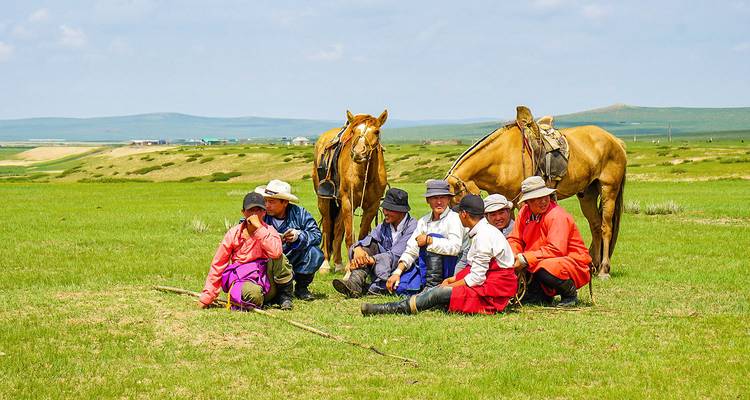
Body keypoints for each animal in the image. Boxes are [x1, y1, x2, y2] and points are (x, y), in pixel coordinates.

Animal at [312, 110, 388, 274]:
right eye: (354, 131)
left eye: (377, 131)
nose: (359, 153)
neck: (365, 175)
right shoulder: (348, 202)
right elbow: (349, 236)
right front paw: (349, 271)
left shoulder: (372, 206)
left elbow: (361, 235)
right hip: (324, 200)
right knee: (328, 227)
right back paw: (326, 264)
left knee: (337, 228)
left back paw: (339, 264)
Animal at [445, 106, 627, 279]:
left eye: (459, 203)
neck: (501, 157)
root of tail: (616, 140)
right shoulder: (505, 202)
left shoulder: (520, 201)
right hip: (587, 194)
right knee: (595, 225)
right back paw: (593, 266)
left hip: (608, 189)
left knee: (606, 227)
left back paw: (604, 269)